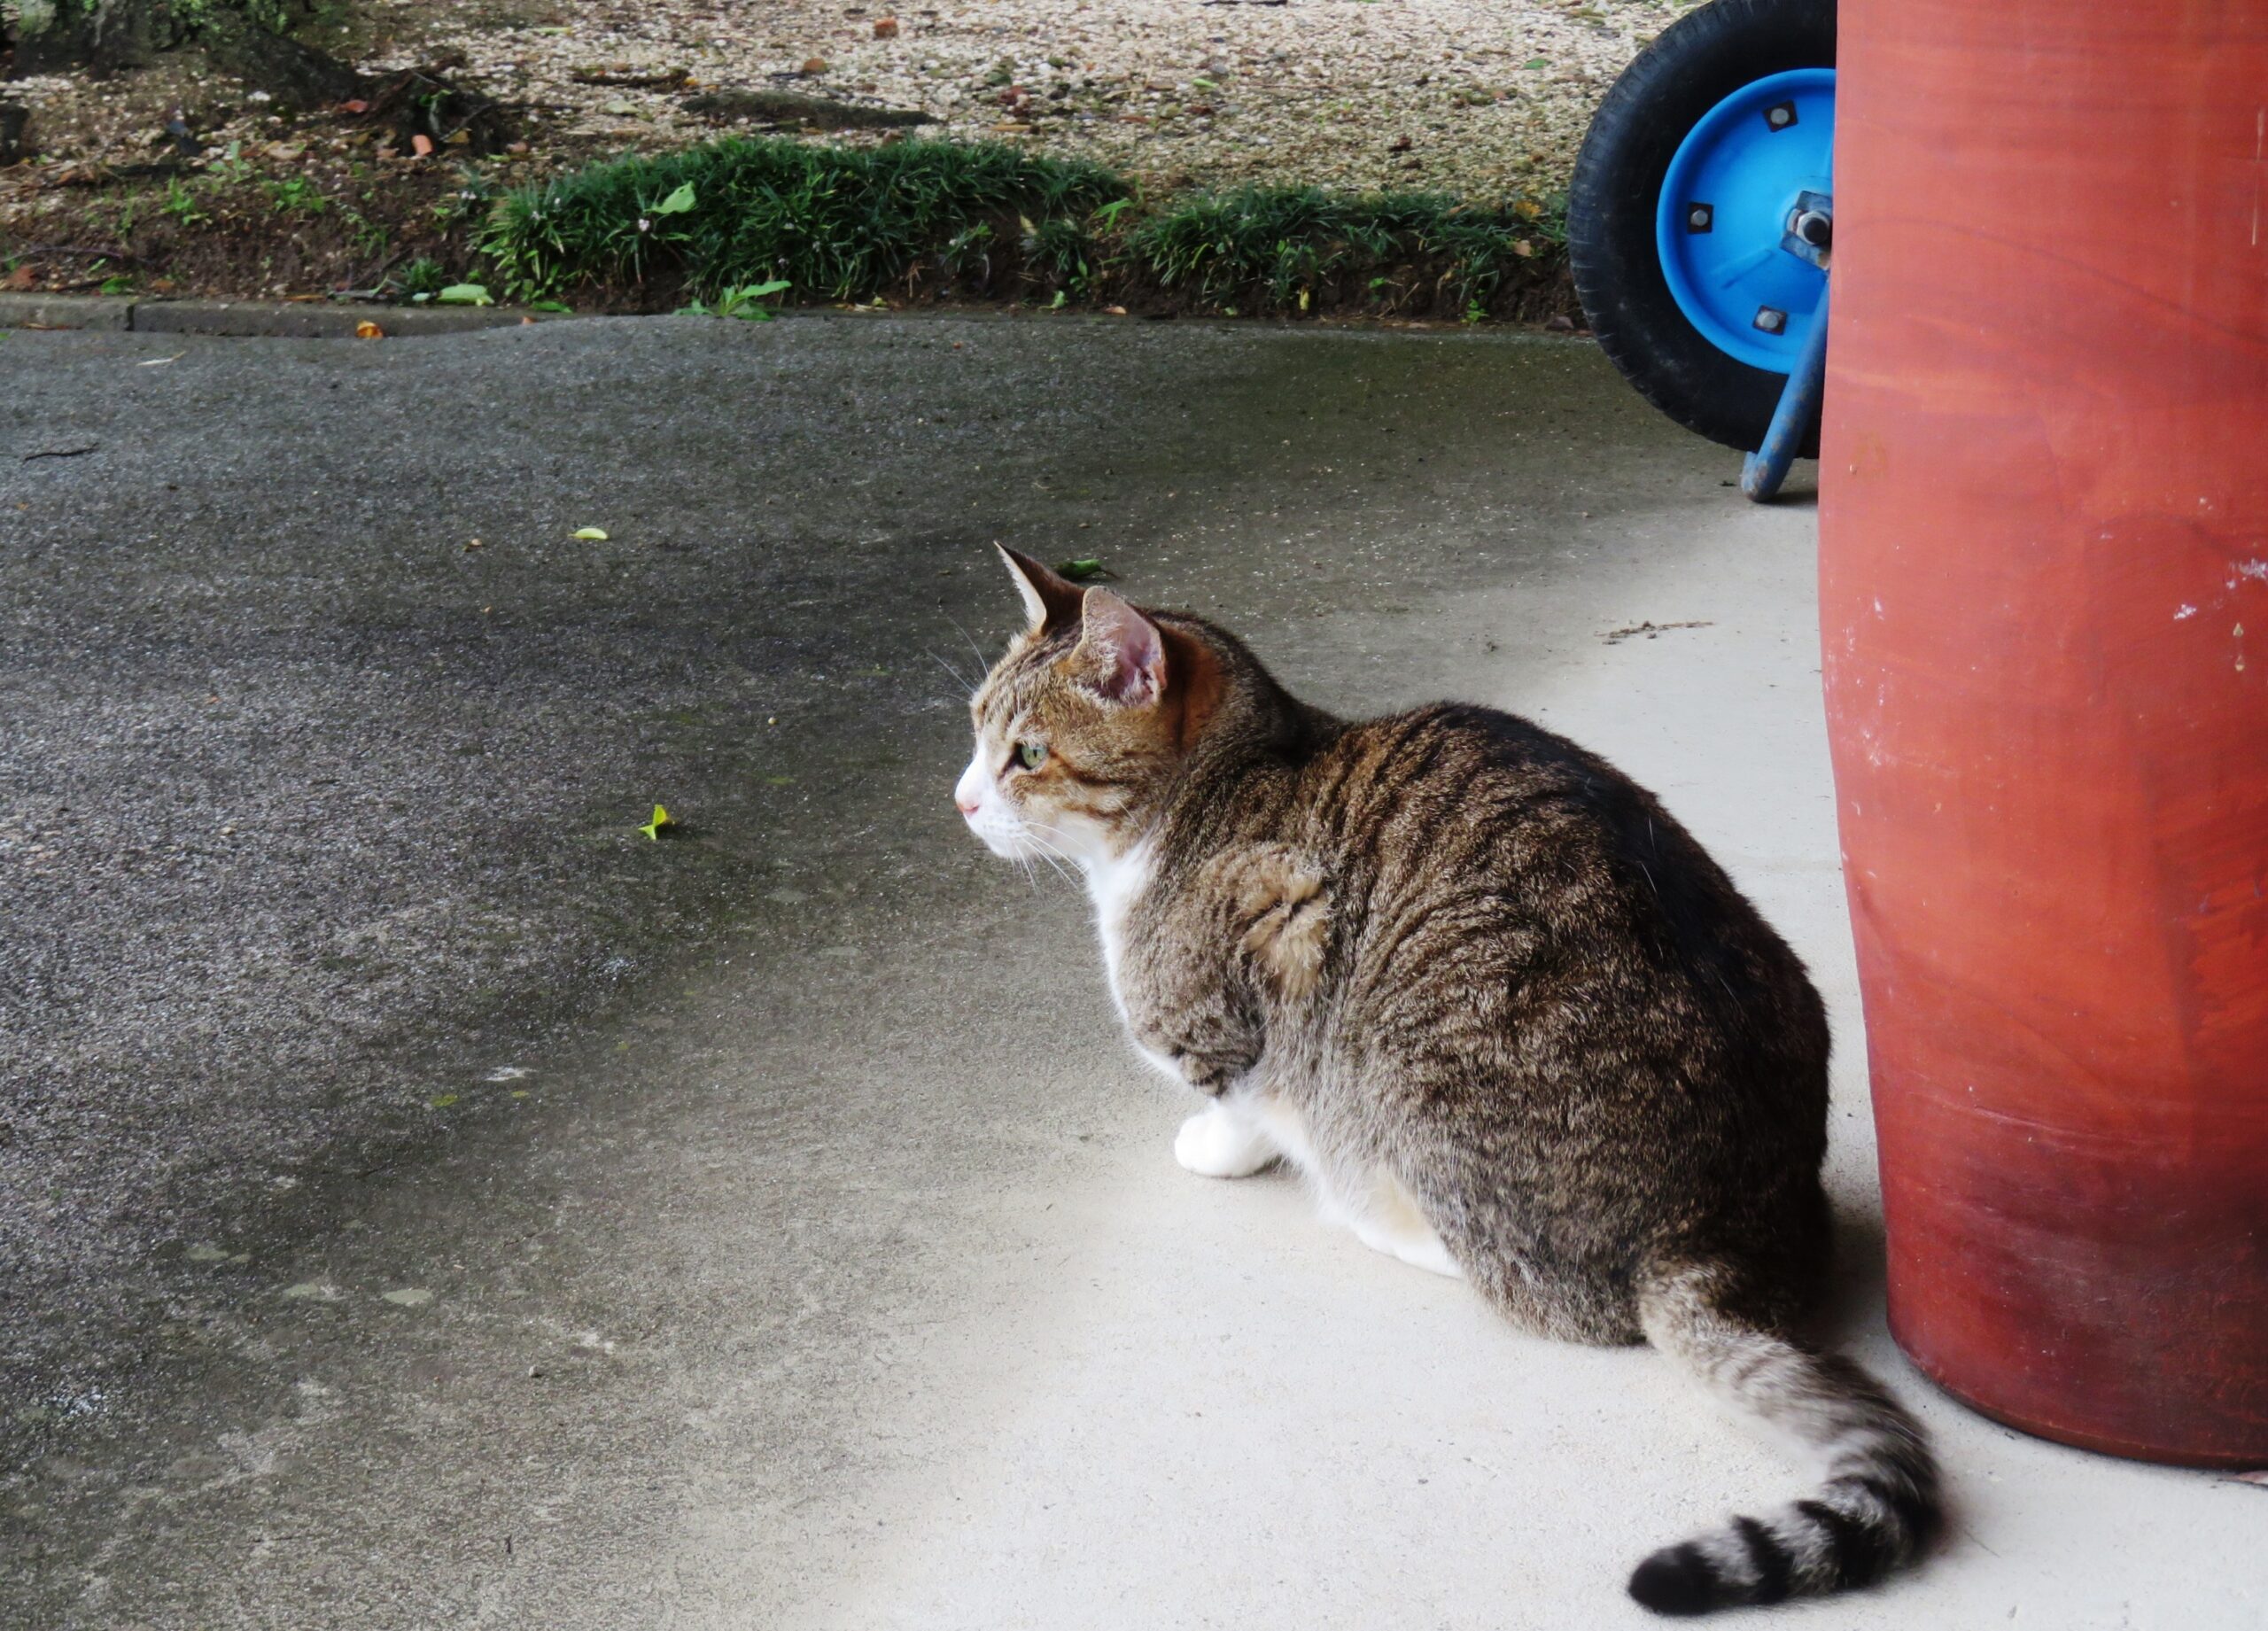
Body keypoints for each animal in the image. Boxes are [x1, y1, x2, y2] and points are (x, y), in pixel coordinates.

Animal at [952, 551, 1932, 1624]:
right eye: (975, 726)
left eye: (1027, 753)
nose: (960, 800)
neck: (1223, 784)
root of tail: (1716, 1239)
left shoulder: (1258, 964)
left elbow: (1240, 1094)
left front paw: (1220, 1146)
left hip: (1412, 1070)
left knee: (1535, 1288)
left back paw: (1375, 1212)